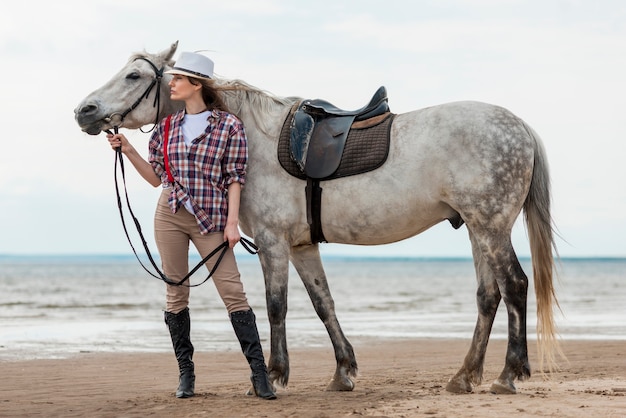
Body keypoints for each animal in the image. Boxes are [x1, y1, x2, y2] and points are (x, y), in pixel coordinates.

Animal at [74, 40, 560, 394]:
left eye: (134, 75)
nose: (84, 111)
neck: (256, 138)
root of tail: (519, 127)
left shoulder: (272, 242)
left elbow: (275, 305)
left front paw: (273, 376)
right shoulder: (302, 246)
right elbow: (323, 303)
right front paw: (343, 372)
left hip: (490, 227)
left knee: (515, 286)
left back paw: (508, 374)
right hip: (478, 229)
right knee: (488, 296)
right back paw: (465, 376)